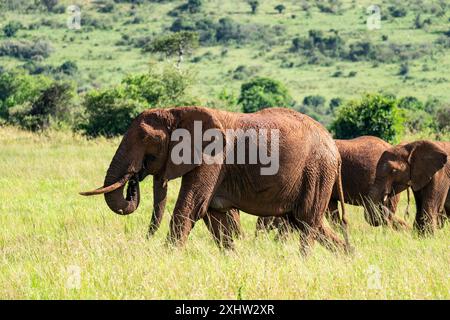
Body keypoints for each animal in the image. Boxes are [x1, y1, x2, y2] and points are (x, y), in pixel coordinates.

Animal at [80, 106, 352, 254]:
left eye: (148, 139)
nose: (134, 180)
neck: (178, 110)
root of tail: (334, 147)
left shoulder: (213, 159)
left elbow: (191, 208)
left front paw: (166, 258)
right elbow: (217, 220)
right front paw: (234, 259)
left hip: (317, 171)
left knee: (307, 223)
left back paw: (305, 260)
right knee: (310, 223)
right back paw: (349, 258)